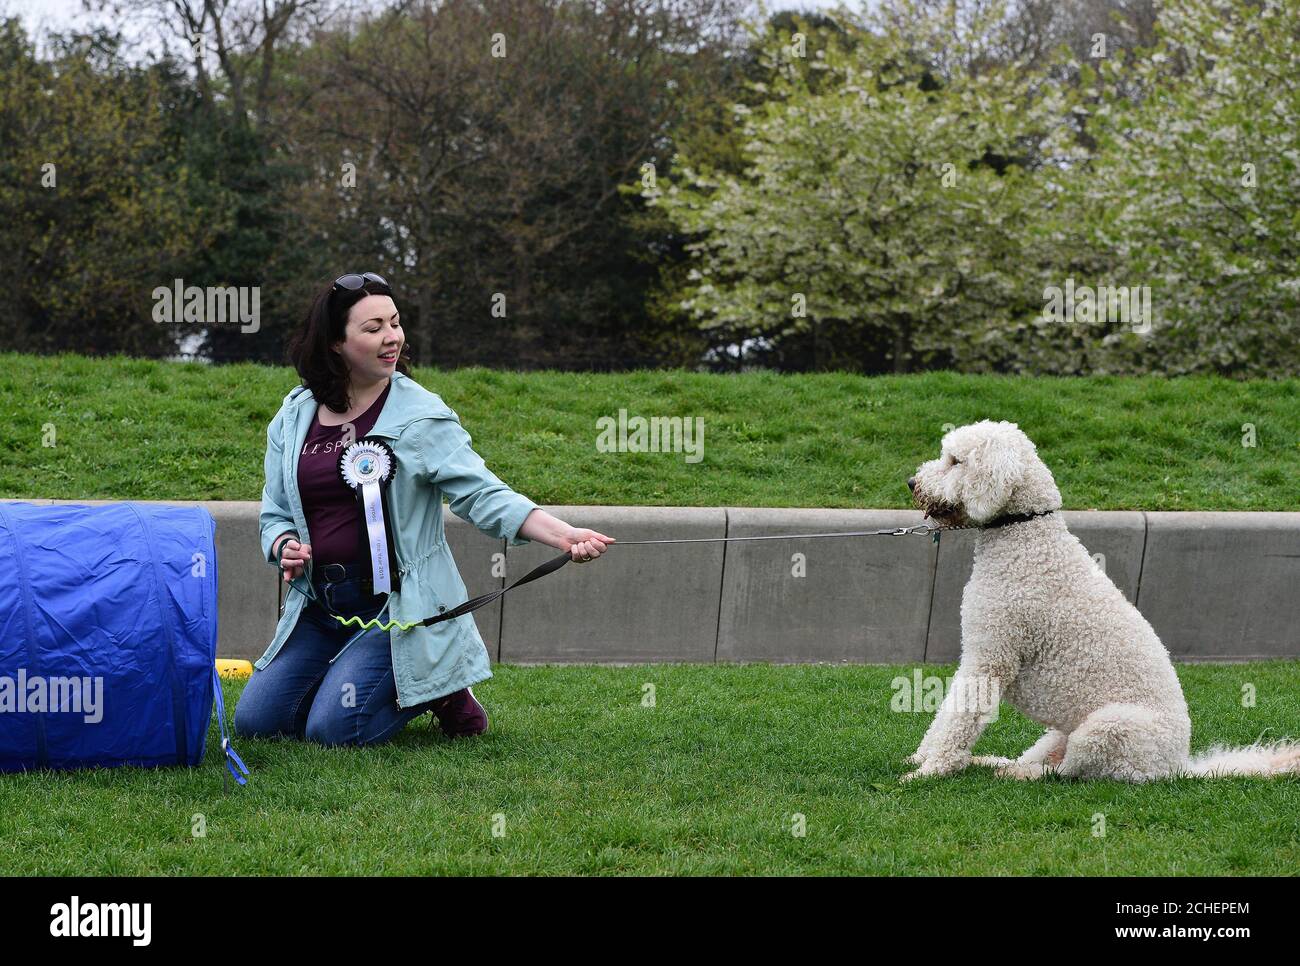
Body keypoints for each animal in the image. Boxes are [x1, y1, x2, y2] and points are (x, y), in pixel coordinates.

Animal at [904, 418, 1300, 780]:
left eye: (955, 461)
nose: (912, 482)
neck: (1025, 533)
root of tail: (1178, 766)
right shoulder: (979, 655)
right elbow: (947, 713)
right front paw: (922, 757)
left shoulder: (990, 657)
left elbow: (959, 717)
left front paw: (932, 768)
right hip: (1059, 734)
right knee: (1043, 760)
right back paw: (992, 763)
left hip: (1108, 728)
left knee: (1063, 773)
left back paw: (1013, 774)